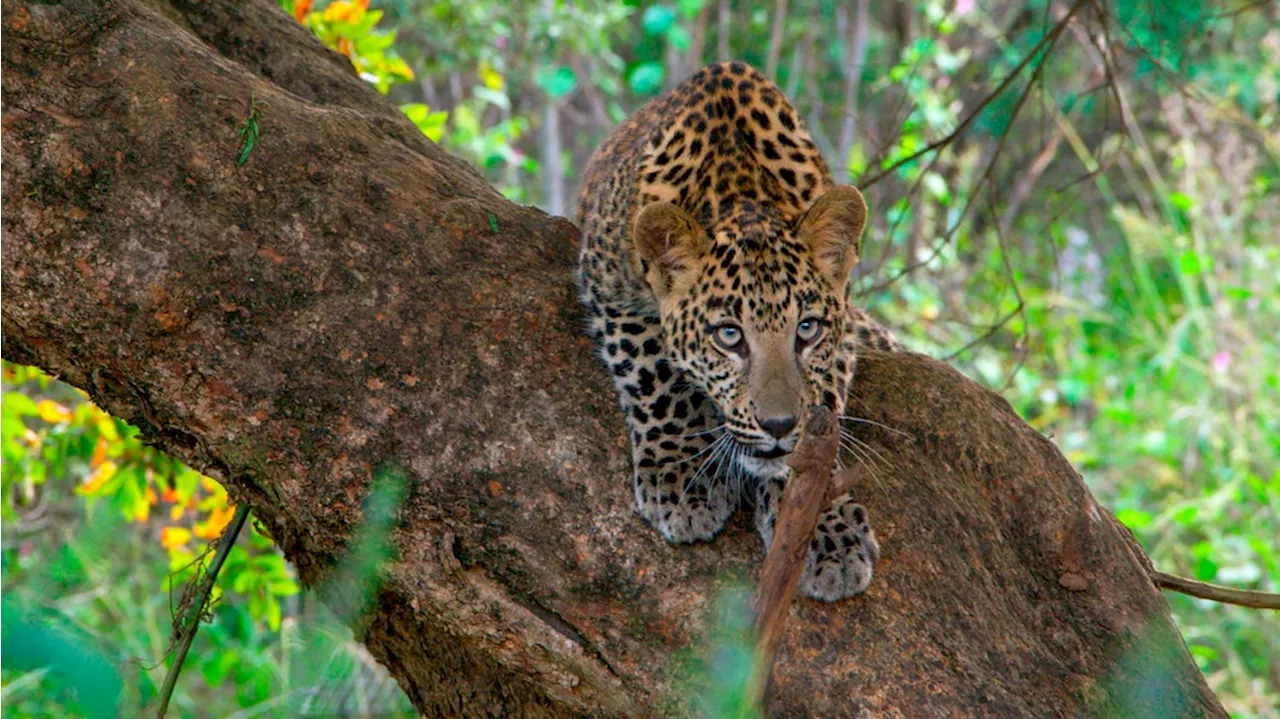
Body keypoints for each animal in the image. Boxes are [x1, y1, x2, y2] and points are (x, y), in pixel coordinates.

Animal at [576, 60, 906, 598]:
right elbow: (655, 375)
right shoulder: (607, 287)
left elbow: (823, 417)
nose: (779, 426)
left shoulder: (841, 335)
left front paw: (826, 530)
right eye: (728, 336)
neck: (741, 189)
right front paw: (683, 479)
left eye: (807, 329)